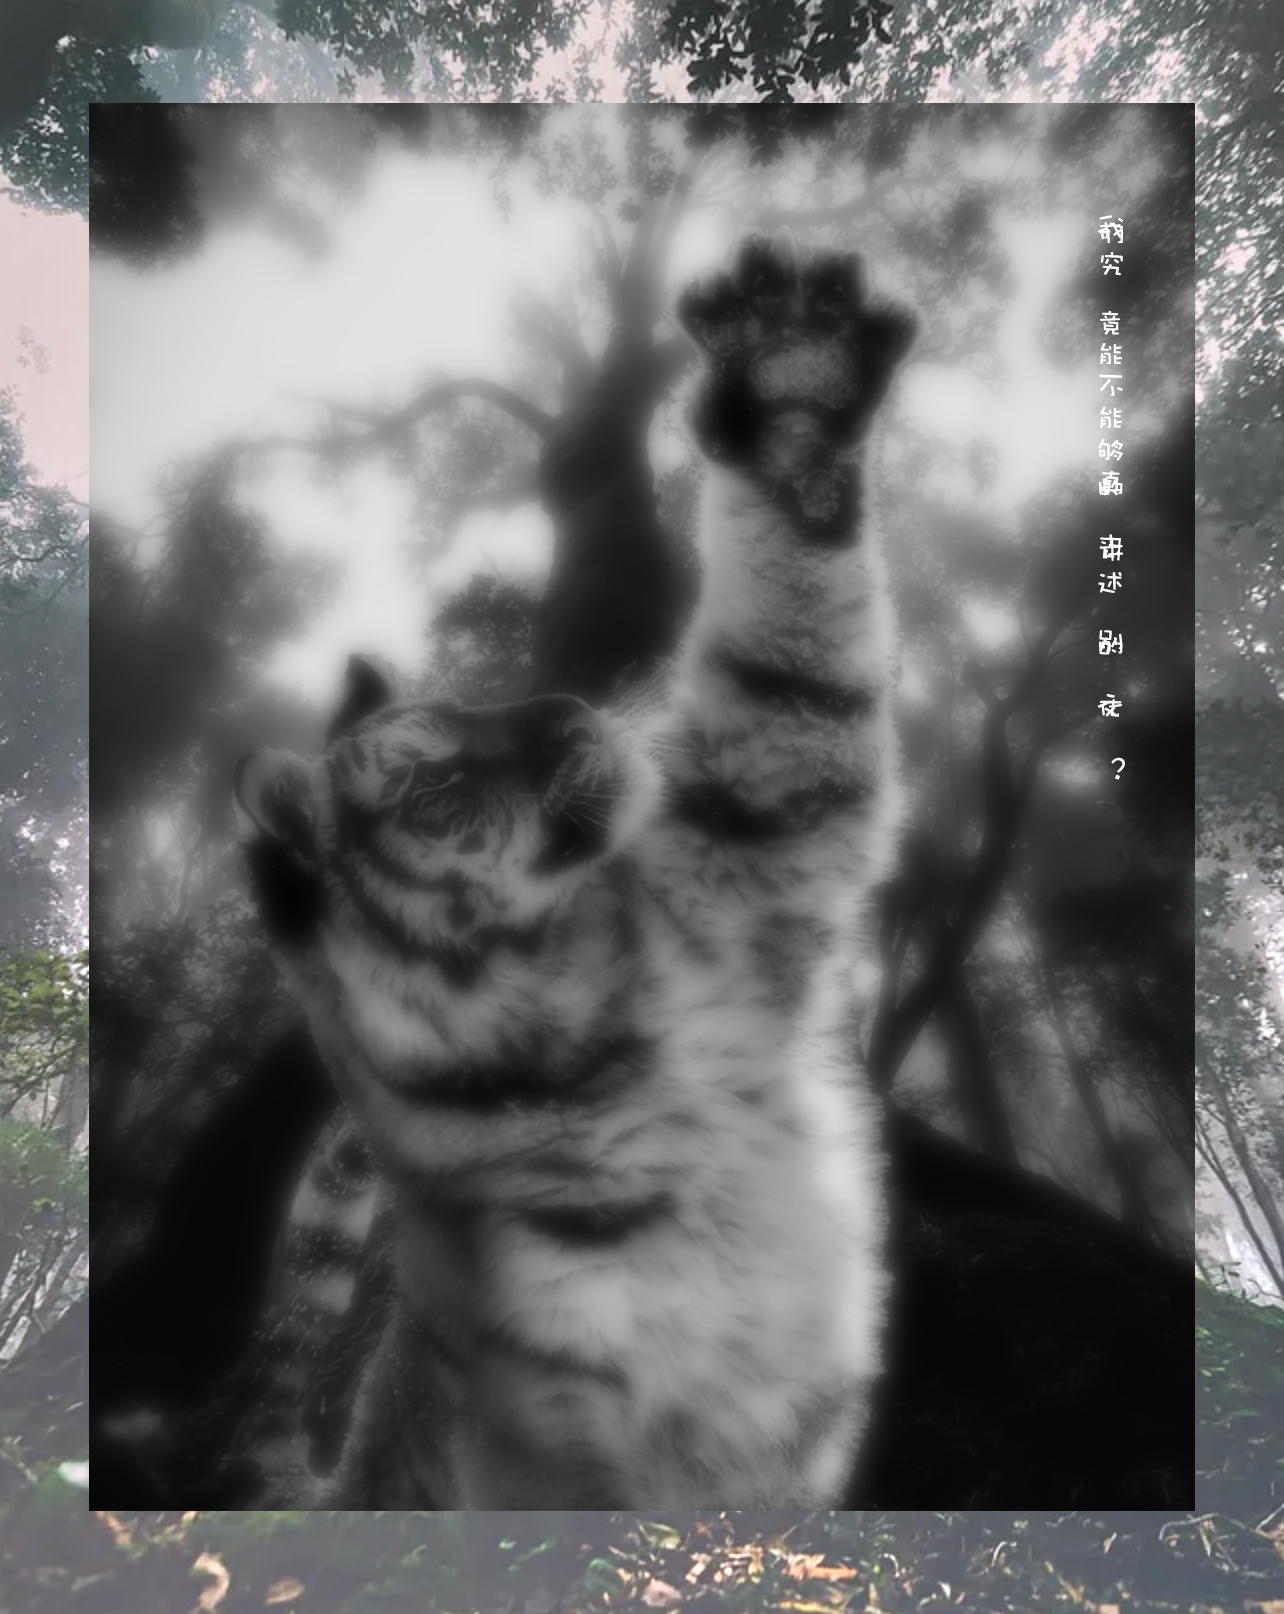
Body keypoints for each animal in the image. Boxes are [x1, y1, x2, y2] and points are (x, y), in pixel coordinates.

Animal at [232, 236, 915, 1507]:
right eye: (434, 783)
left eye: (478, 696)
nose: (560, 706)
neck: (595, 1005)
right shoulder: (552, 1439)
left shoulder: (747, 846)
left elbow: (792, 670)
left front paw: (792, 376)